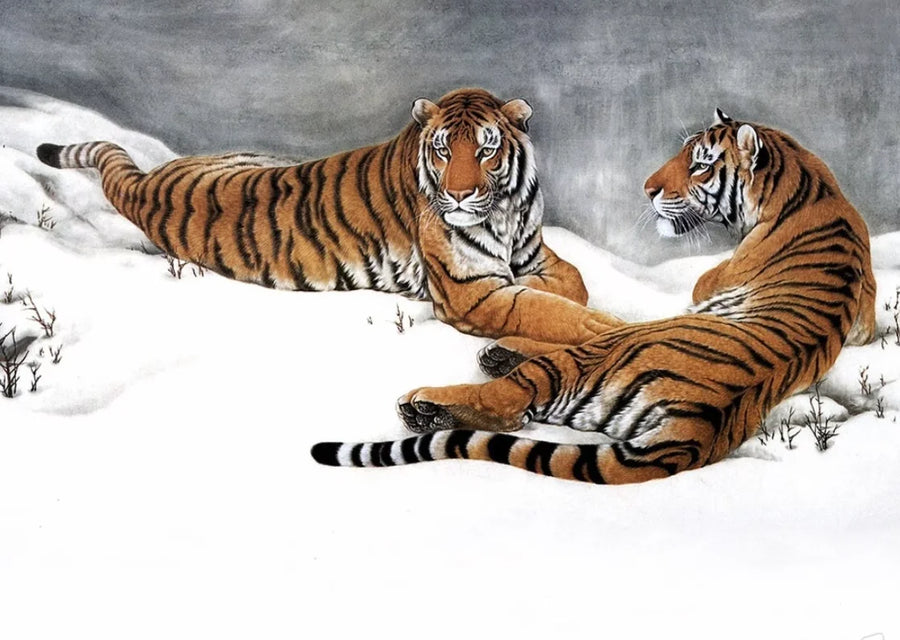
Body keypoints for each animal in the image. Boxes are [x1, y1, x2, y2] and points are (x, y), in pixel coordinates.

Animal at [35, 88, 623, 344]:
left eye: (485, 150)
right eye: (441, 151)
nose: (457, 197)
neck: (504, 212)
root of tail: (148, 184)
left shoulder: (534, 253)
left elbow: (572, 281)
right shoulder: (470, 291)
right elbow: (550, 311)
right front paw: (605, 328)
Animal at [311, 109, 878, 484]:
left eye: (699, 165)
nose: (648, 188)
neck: (807, 181)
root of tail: (701, 422)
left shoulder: (701, 290)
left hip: (599, 360)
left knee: (510, 402)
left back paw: (428, 403)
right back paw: (494, 356)